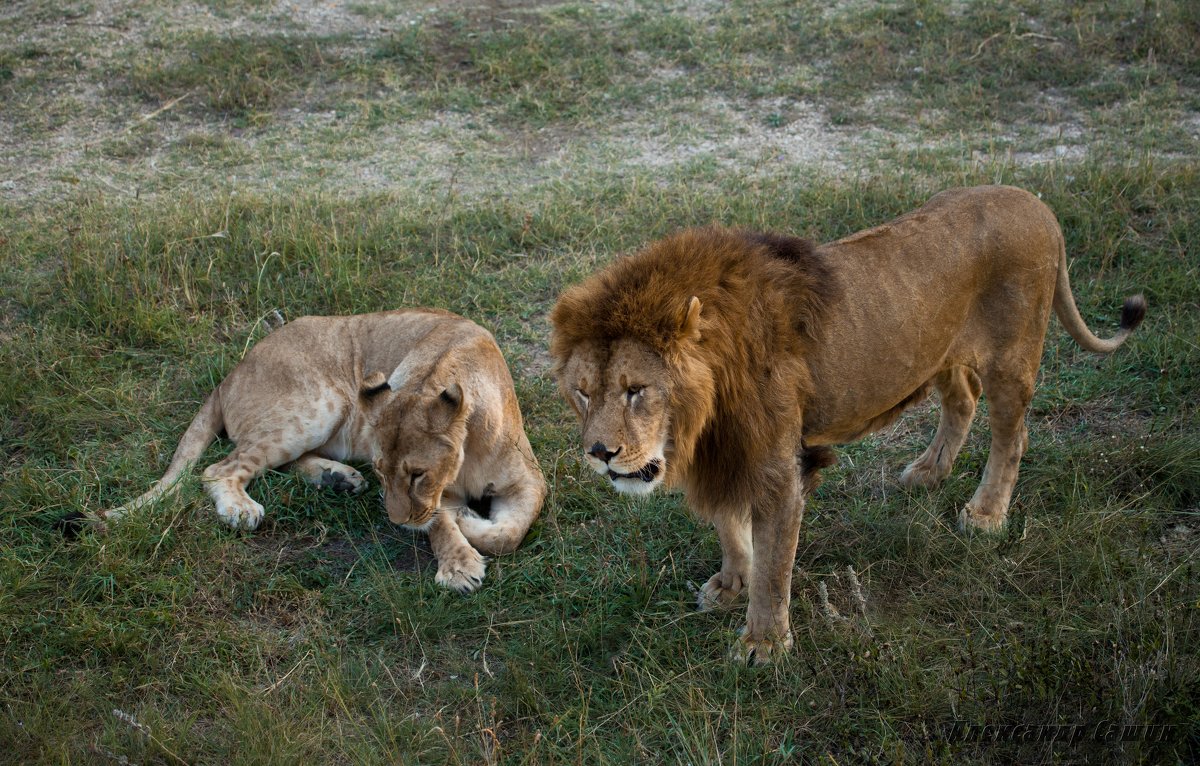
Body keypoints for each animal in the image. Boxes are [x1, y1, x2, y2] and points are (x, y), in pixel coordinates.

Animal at [549, 182, 1147, 662]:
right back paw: (928, 472)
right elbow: (729, 527)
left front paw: (764, 643)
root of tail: (1037, 204)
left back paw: (985, 514)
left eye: (636, 391)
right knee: (962, 401)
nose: (599, 453)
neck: (704, 412)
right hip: (938, 353)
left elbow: (774, 566)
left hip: (1011, 358)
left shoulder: (778, 469)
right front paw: (730, 585)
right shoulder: (724, 456)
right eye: (583, 393)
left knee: (1011, 434)